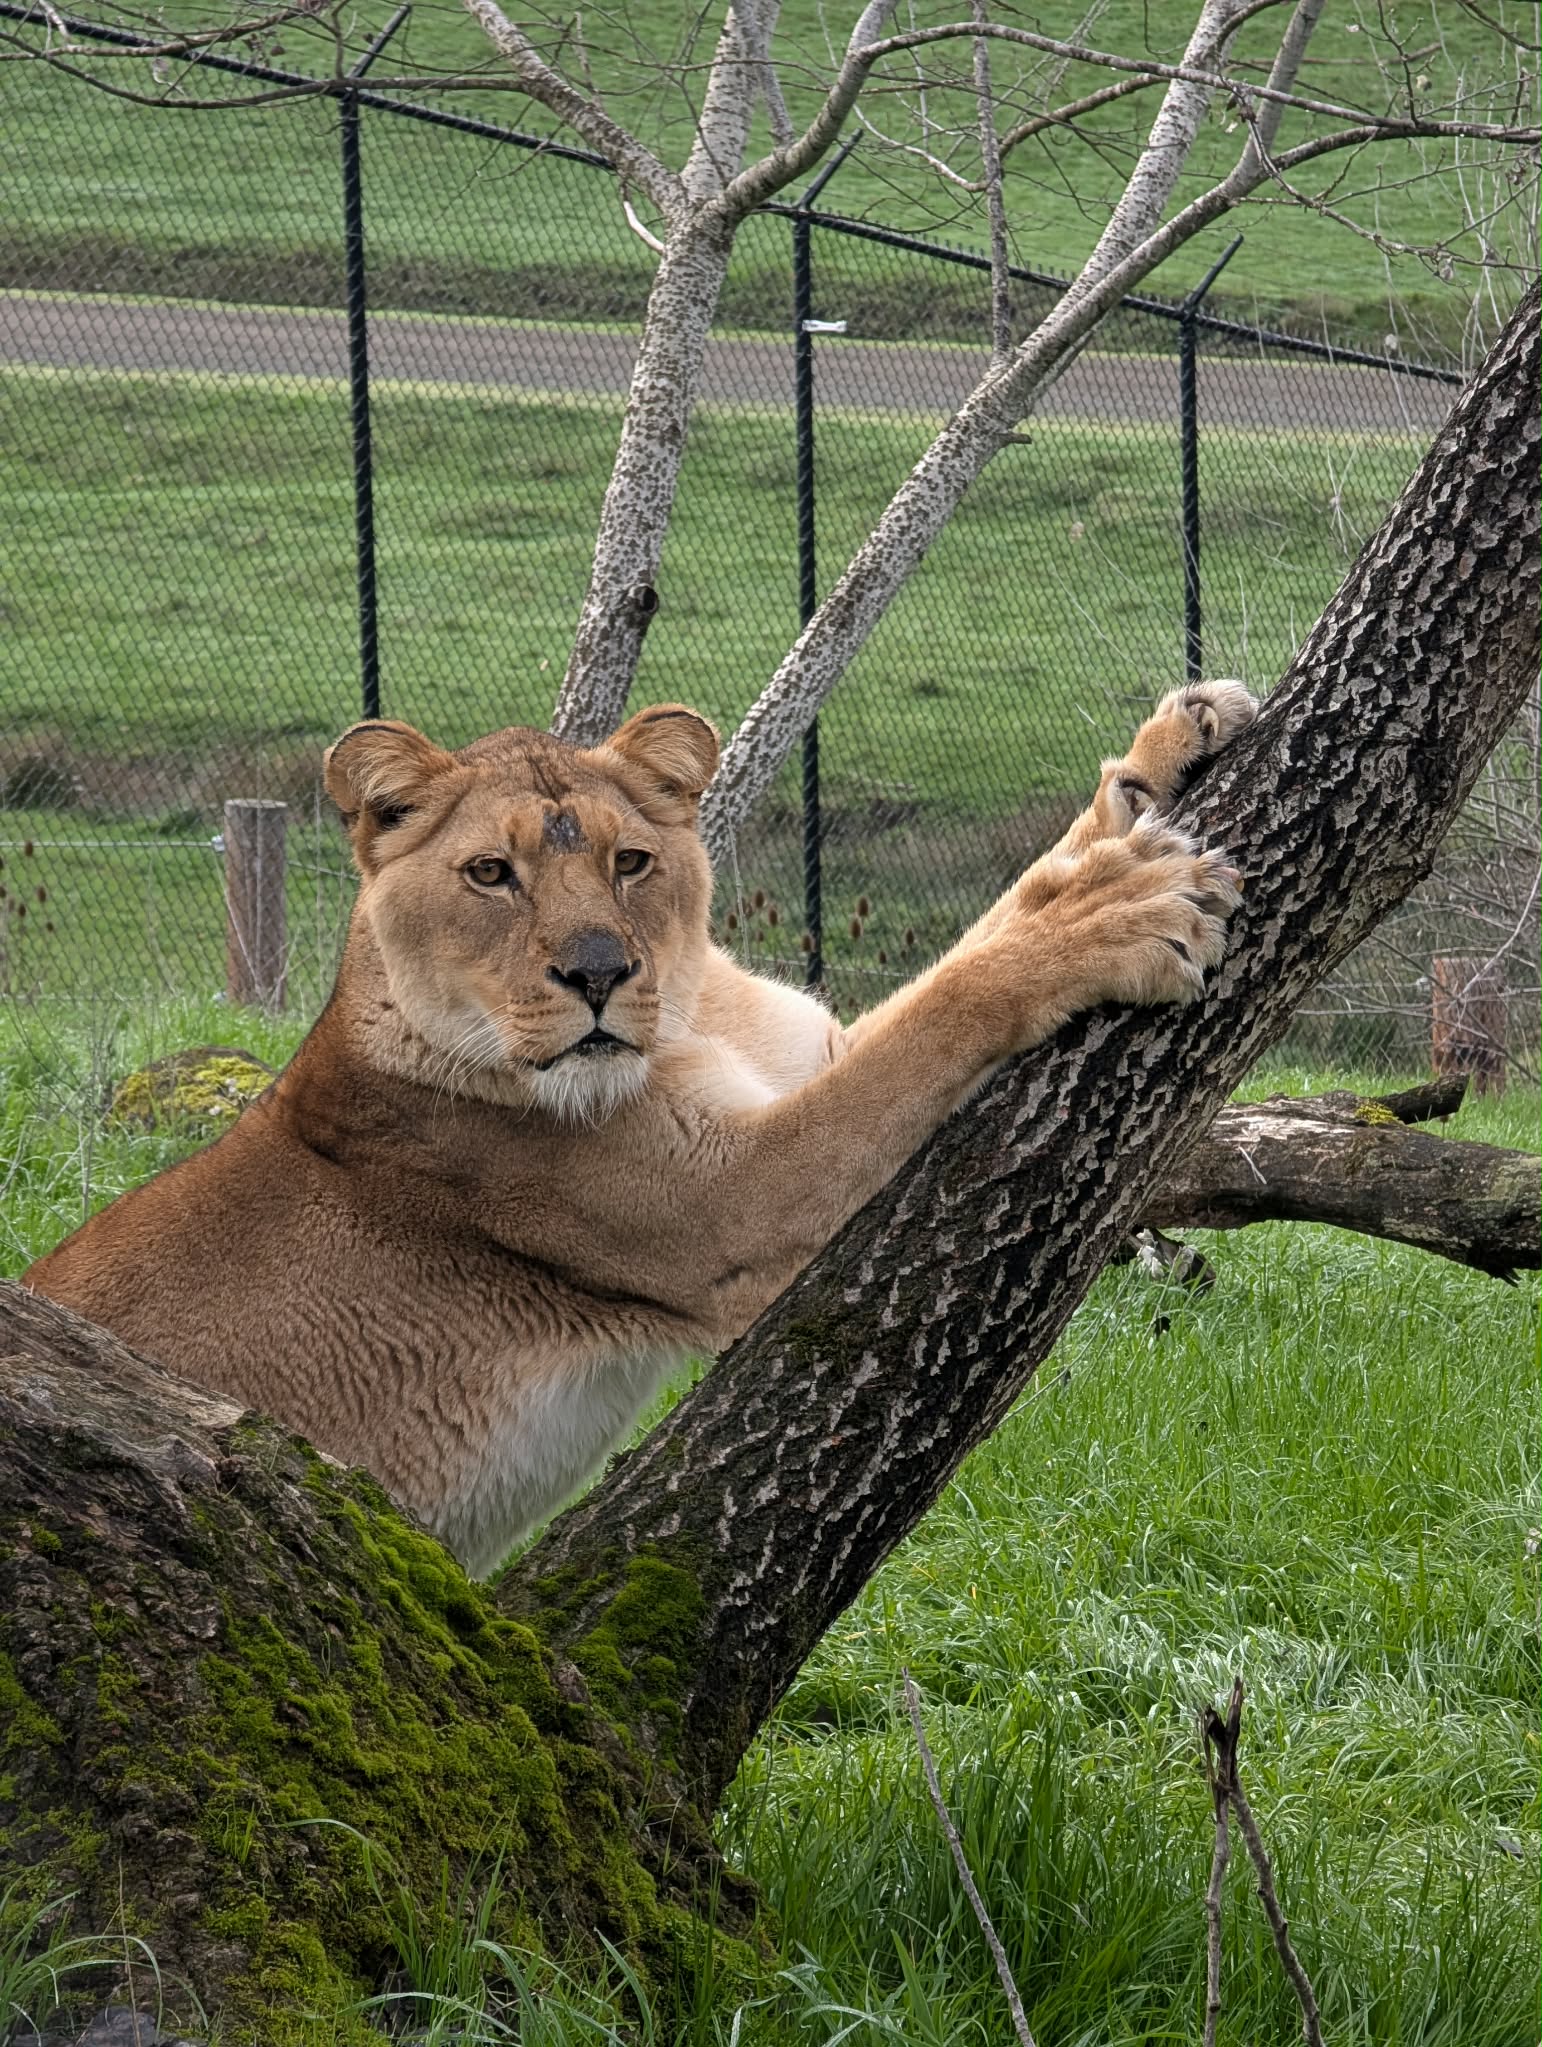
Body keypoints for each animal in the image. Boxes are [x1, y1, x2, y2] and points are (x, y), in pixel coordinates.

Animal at [27, 682, 1255, 1576]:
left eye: (630, 861)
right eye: (492, 873)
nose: (598, 973)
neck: (691, 1011)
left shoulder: (805, 1057)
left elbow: (988, 920)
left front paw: (1173, 742)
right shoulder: (737, 1209)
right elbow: (954, 998)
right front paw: (1116, 916)